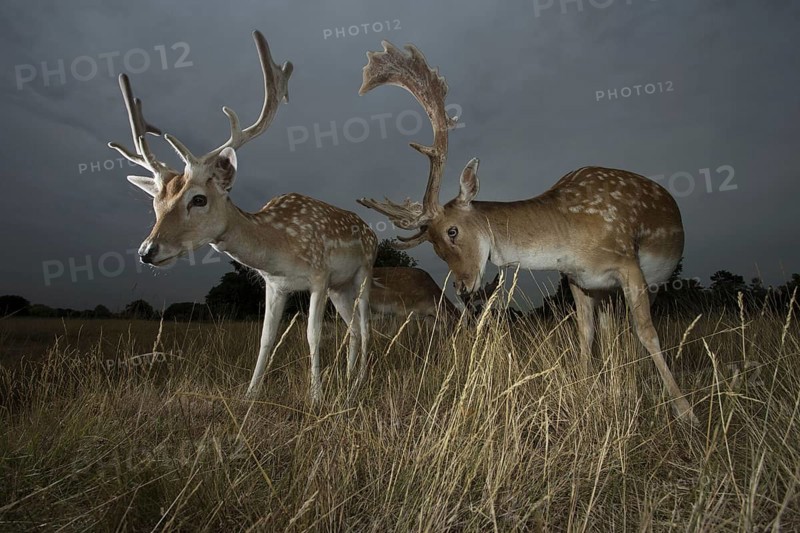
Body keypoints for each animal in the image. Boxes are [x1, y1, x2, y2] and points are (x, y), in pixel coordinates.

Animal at [108, 31, 377, 403]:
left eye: (199, 199)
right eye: (155, 204)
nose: (148, 251)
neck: (279, 246)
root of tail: (372, 232)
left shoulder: (319, 274)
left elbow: (313, 335)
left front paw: (316, 397)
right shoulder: (276, 285)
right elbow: (266, 339)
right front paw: (250, 393)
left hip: (363, 271)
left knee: (364, 325)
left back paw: (361, 381)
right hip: (341, 287)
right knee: (352, 327)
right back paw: (350, 380)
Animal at [355, 42, 698, 425]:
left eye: (453, 231)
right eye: (434, 248)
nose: (462, 288)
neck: (573, 237)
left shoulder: (629, 263)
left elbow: (647, 333)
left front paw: (686, 412)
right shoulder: (579, 279)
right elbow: (585, 334)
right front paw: (587, 388)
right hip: (606, 291)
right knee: (610, 331)